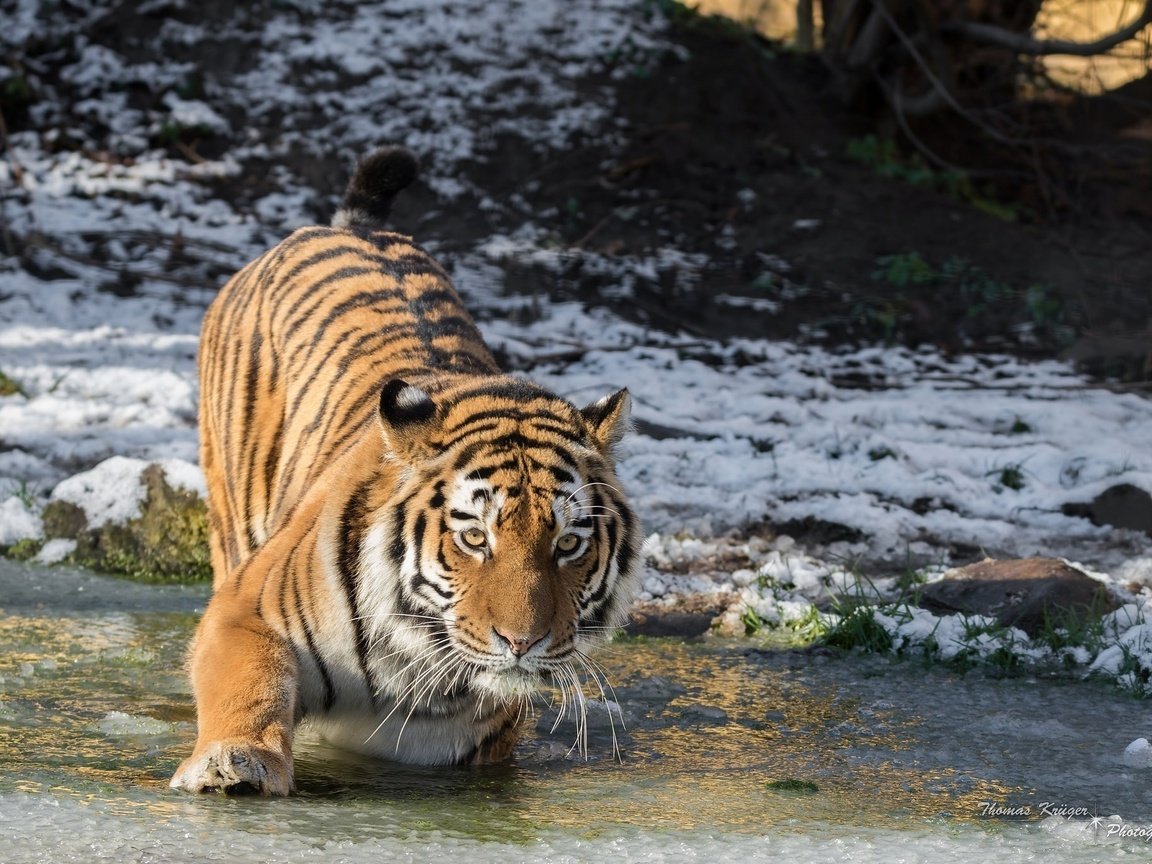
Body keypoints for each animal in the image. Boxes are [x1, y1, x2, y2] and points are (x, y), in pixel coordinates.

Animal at [167, 144, 645, 797]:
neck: (413, 654)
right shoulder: (245, 610)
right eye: (475, 538)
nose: (522, 643)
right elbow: (250, 686)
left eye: (569, 544)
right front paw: (233, 763)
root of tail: (351, 228)